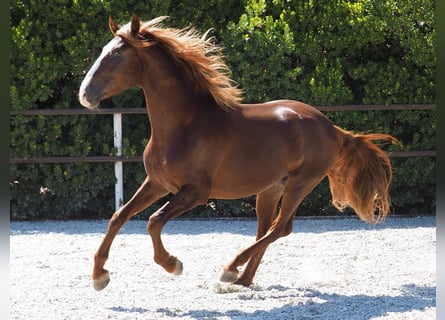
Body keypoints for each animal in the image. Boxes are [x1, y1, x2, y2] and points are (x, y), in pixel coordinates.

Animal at [78, 14, 398, 290]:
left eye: (116, 56)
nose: (84, 95)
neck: (185, 126)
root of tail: (333, 129)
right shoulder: (157, 183)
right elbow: (118, 216)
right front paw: (99, 275)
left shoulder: (196, 192)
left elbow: (154, 221)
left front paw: (172, 264)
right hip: (270, 189)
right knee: (268, 229)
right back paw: (243, 279)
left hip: (300, 184)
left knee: (279, 229)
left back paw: (231, 269)